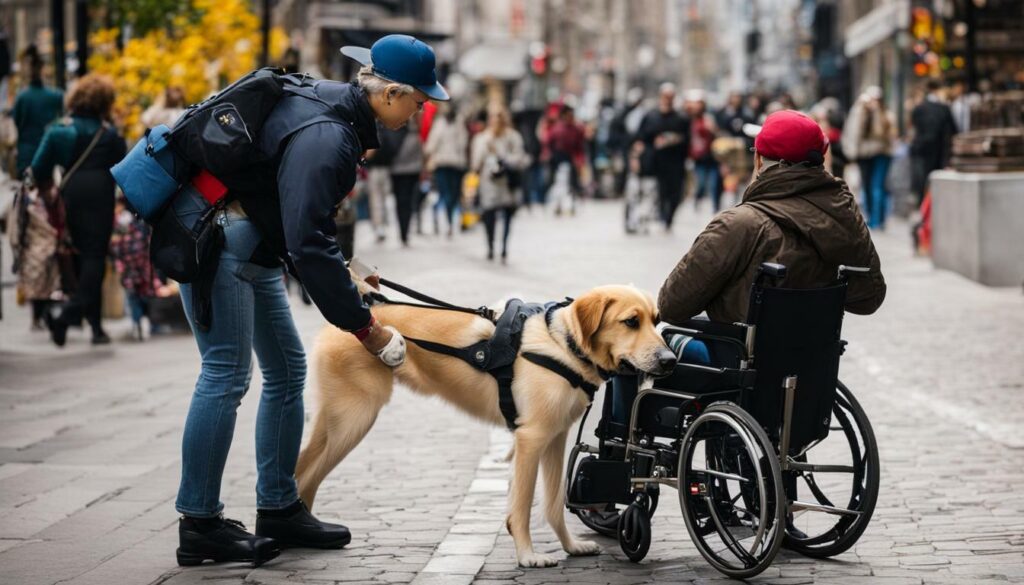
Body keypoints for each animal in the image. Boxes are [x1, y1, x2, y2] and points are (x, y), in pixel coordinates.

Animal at [296, 282, 675, 569]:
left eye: (656, 320)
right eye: (630, 322)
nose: (670, 361)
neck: (563, 346)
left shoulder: (555, 438)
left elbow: (553, 504)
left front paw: (570, 546)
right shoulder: (531, 439)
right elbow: (521, 506)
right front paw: (527, 556)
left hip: (337, 422)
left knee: (302, 471)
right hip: (353, 419)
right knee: (307, 475)